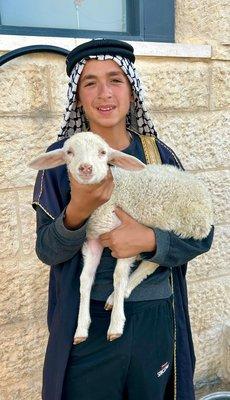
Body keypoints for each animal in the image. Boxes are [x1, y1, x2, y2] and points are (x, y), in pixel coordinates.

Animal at [29, 131, 214, 344]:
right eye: (69, 152)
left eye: (102, 153)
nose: (85, 168)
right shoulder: (93, 239)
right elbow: (85, 279)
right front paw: (81, 328)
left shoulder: (127, 240)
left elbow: (118, 277)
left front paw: (116, 324)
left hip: (179, 224)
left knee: (153, 262)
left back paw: (118, 294)